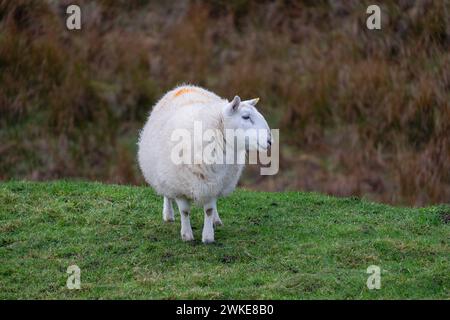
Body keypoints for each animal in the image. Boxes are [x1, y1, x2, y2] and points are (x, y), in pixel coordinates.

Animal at [137, 85, 270, 242]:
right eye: (245, 117)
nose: (270, 141)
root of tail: (184, 87)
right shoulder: (179, 185)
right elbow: (184, 211)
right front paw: (187, 235)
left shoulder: (213, 183)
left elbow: (209, 210)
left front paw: (208, 237)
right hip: (164, 175)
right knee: (167, 194)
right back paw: (168, 214)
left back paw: (216, 220)